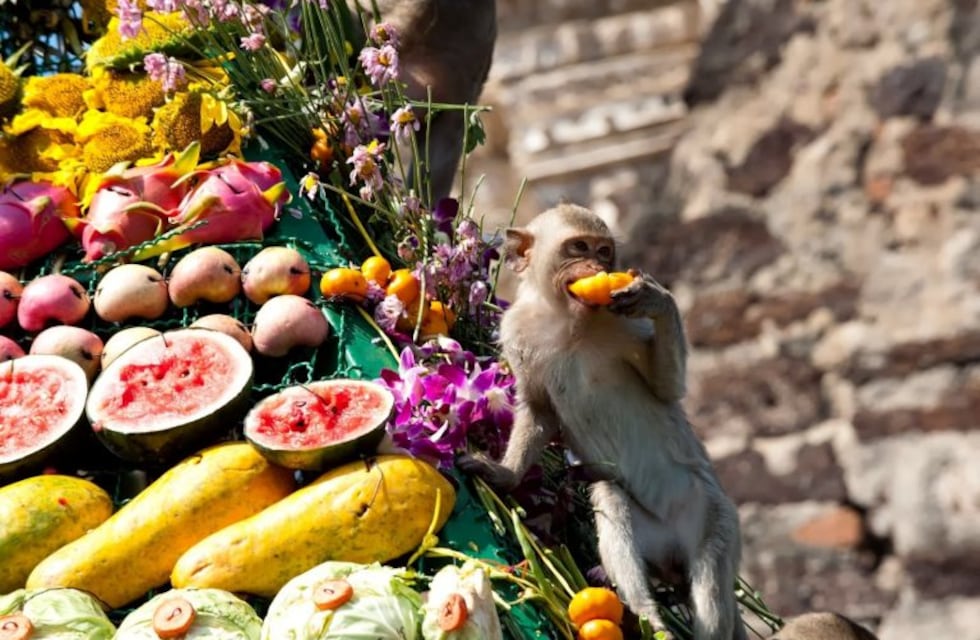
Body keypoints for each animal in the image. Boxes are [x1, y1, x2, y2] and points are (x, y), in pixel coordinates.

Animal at [459, 203, 747, 640]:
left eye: (604, 251)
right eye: (578, 247)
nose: (596, 265)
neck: (569, 321)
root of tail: (671, 556)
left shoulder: (626, 322)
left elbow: (667, 388)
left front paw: (658, 300)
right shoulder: (516, 330)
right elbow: (539, 409)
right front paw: (505, 475)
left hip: (713, 518)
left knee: (711, 572)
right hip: (651, 541)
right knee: (610, 496)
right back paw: (646, 612)